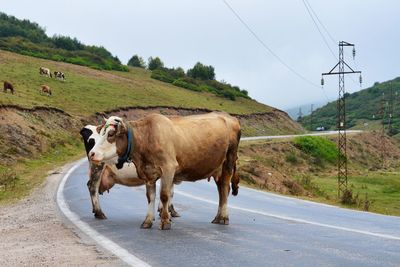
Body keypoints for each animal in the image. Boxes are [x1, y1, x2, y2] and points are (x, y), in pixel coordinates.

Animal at [89, 112, 239, 230]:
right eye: (101, 133)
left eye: (111, 134)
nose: (91, 153)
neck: (146, 138)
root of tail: (229, 117)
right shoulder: (148, 173)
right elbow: (150, 196)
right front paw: (148, 221)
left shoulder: (169, 167)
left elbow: (165, 195)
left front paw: (165, 221)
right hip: (218, 168)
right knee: (221, 190)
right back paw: (218, 217)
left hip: (228, 162)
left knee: (224, 188)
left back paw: (224, 217)